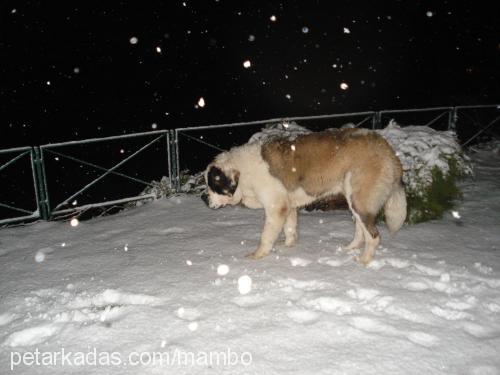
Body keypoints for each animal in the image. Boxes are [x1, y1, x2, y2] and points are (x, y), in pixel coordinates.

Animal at [201, 129, 408, 268]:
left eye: (212, 184)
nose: (203, 198)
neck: (244, 173)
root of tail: (387, 149)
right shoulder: (288, 205)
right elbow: (290, 228)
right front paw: (288, 246)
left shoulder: (276, 206)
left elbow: (266, 235)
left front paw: (258, 255)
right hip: (355, 199)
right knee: (361, 229)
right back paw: (350, 248)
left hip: (360, 200)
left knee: (373, 235)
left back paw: (364, 261)